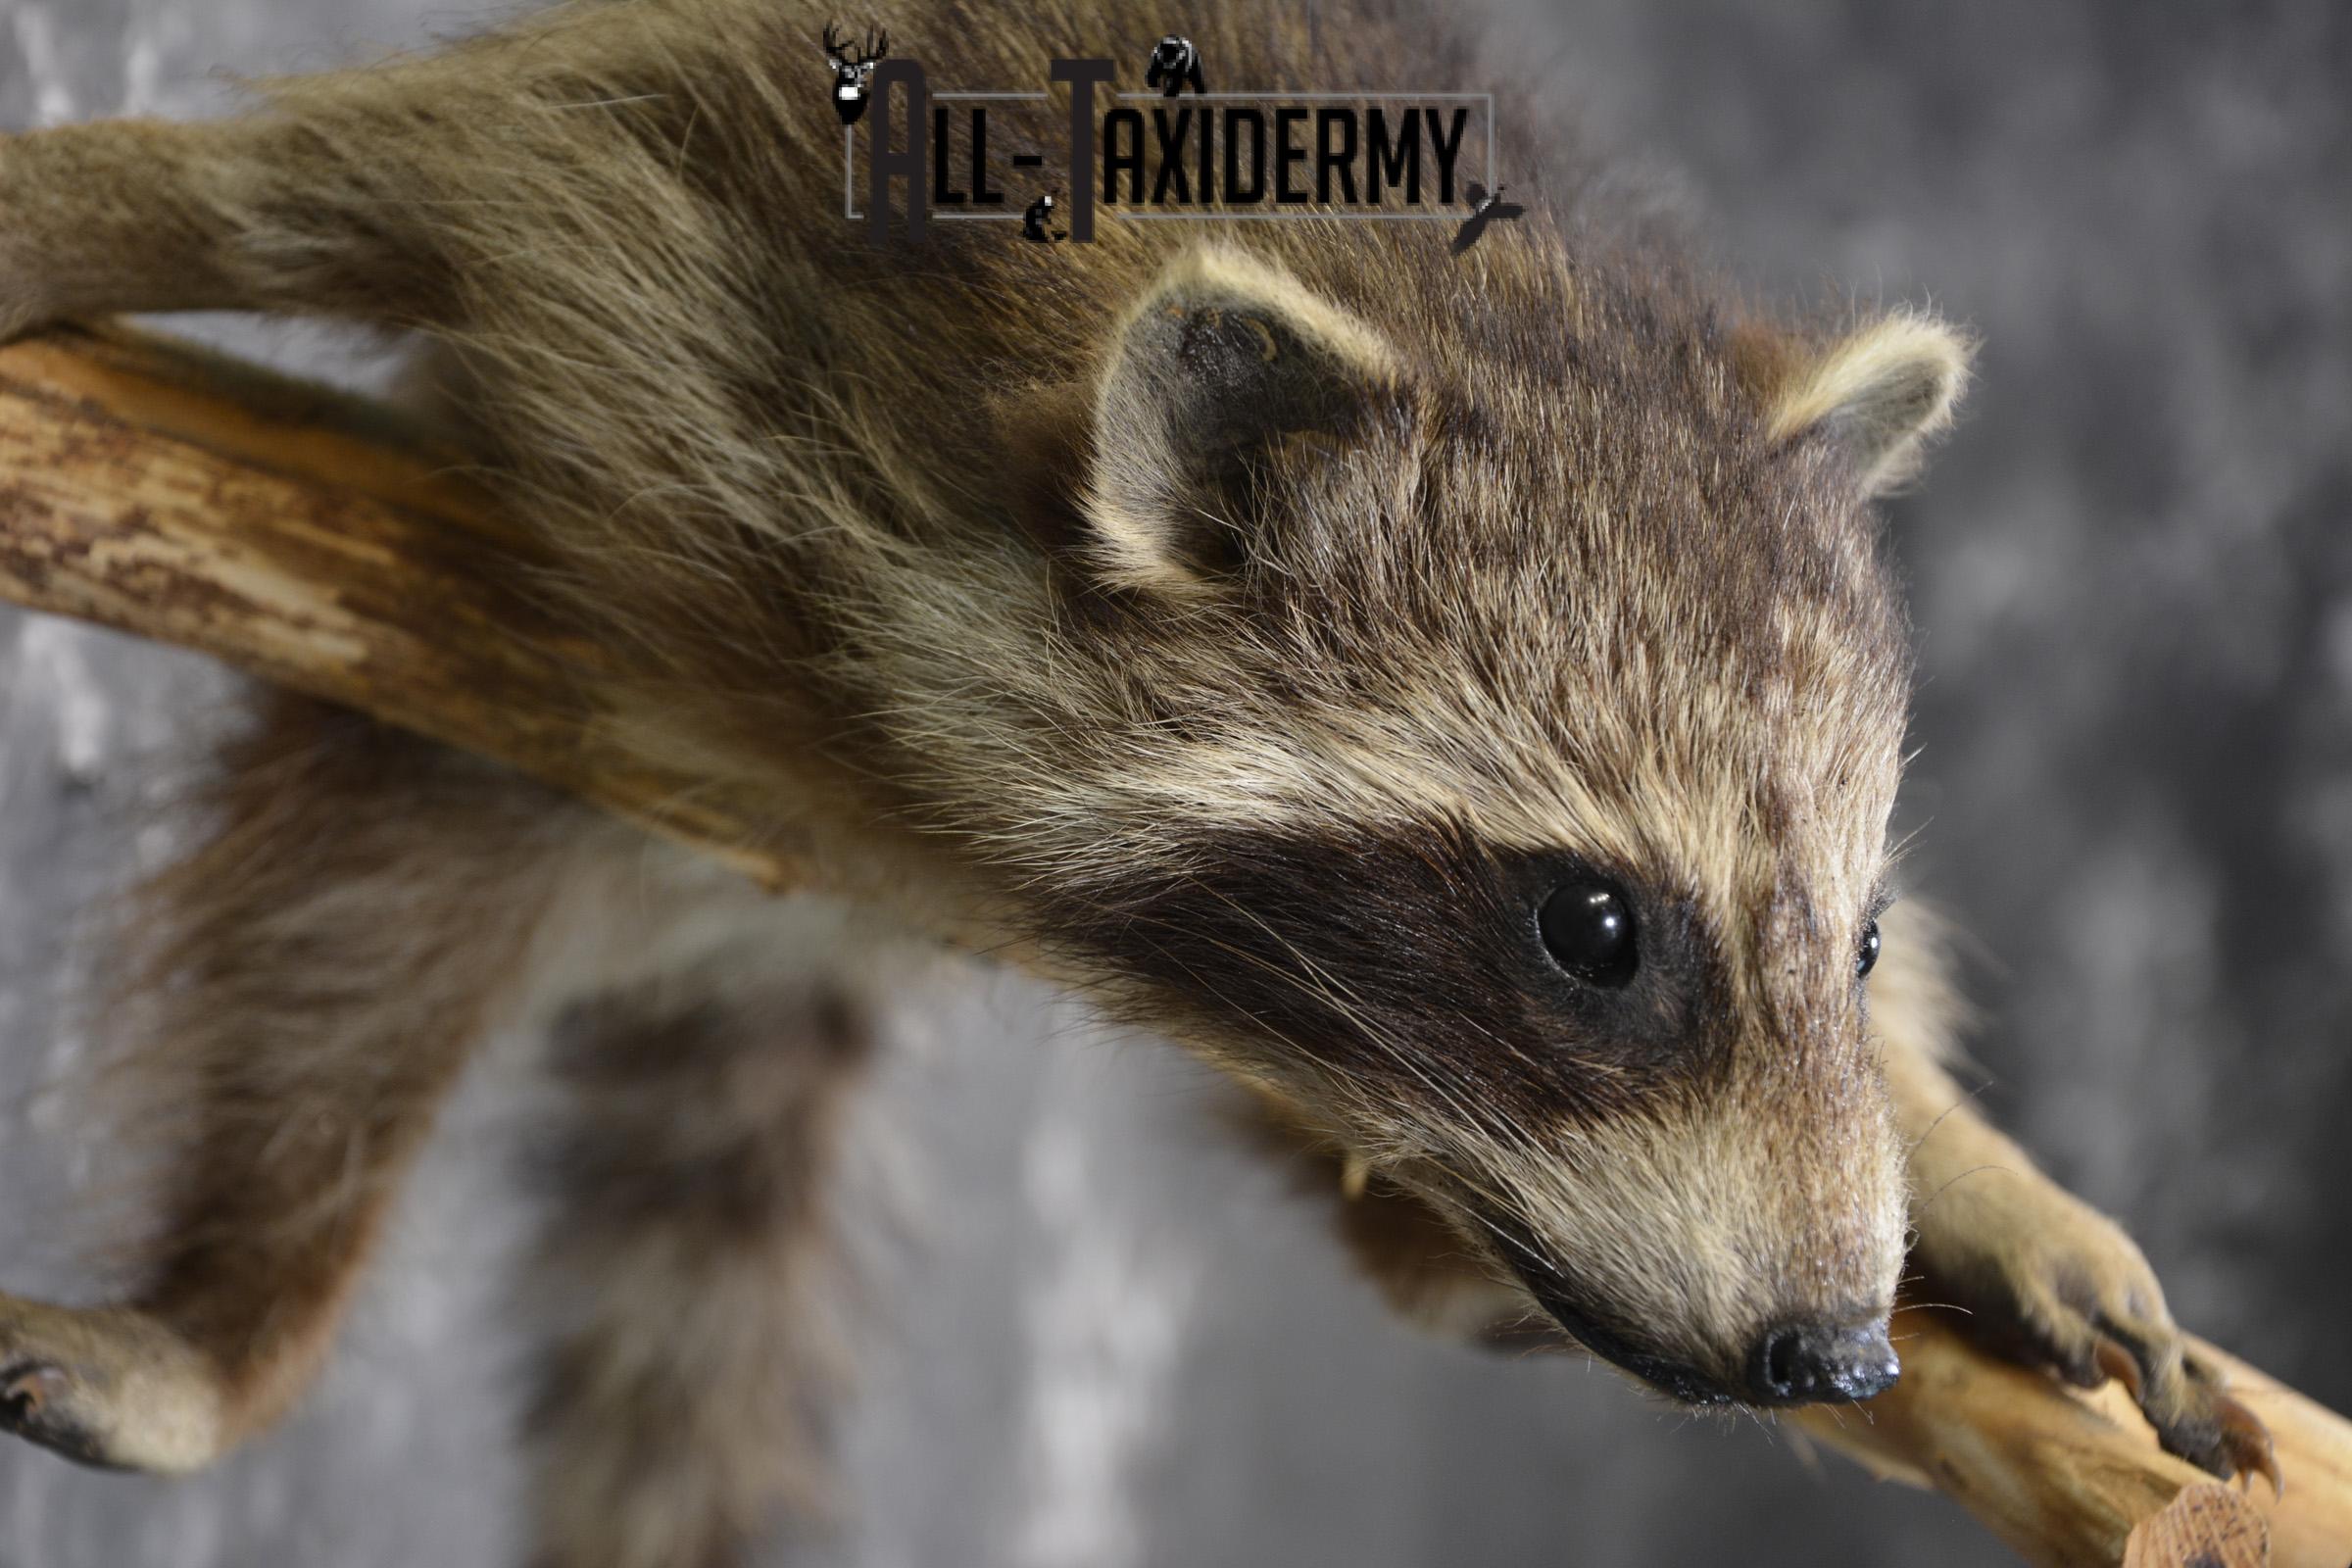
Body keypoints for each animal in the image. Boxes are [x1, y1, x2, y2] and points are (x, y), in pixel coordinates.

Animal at [0, 0, 2272, 1561]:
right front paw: (75, 211)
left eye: (1858, 934)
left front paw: (1970, 1156)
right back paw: (232, 1311)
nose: (1833, 1355)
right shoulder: (743, 174)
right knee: (342, 970)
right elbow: (360, 174)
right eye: (1596, 928)